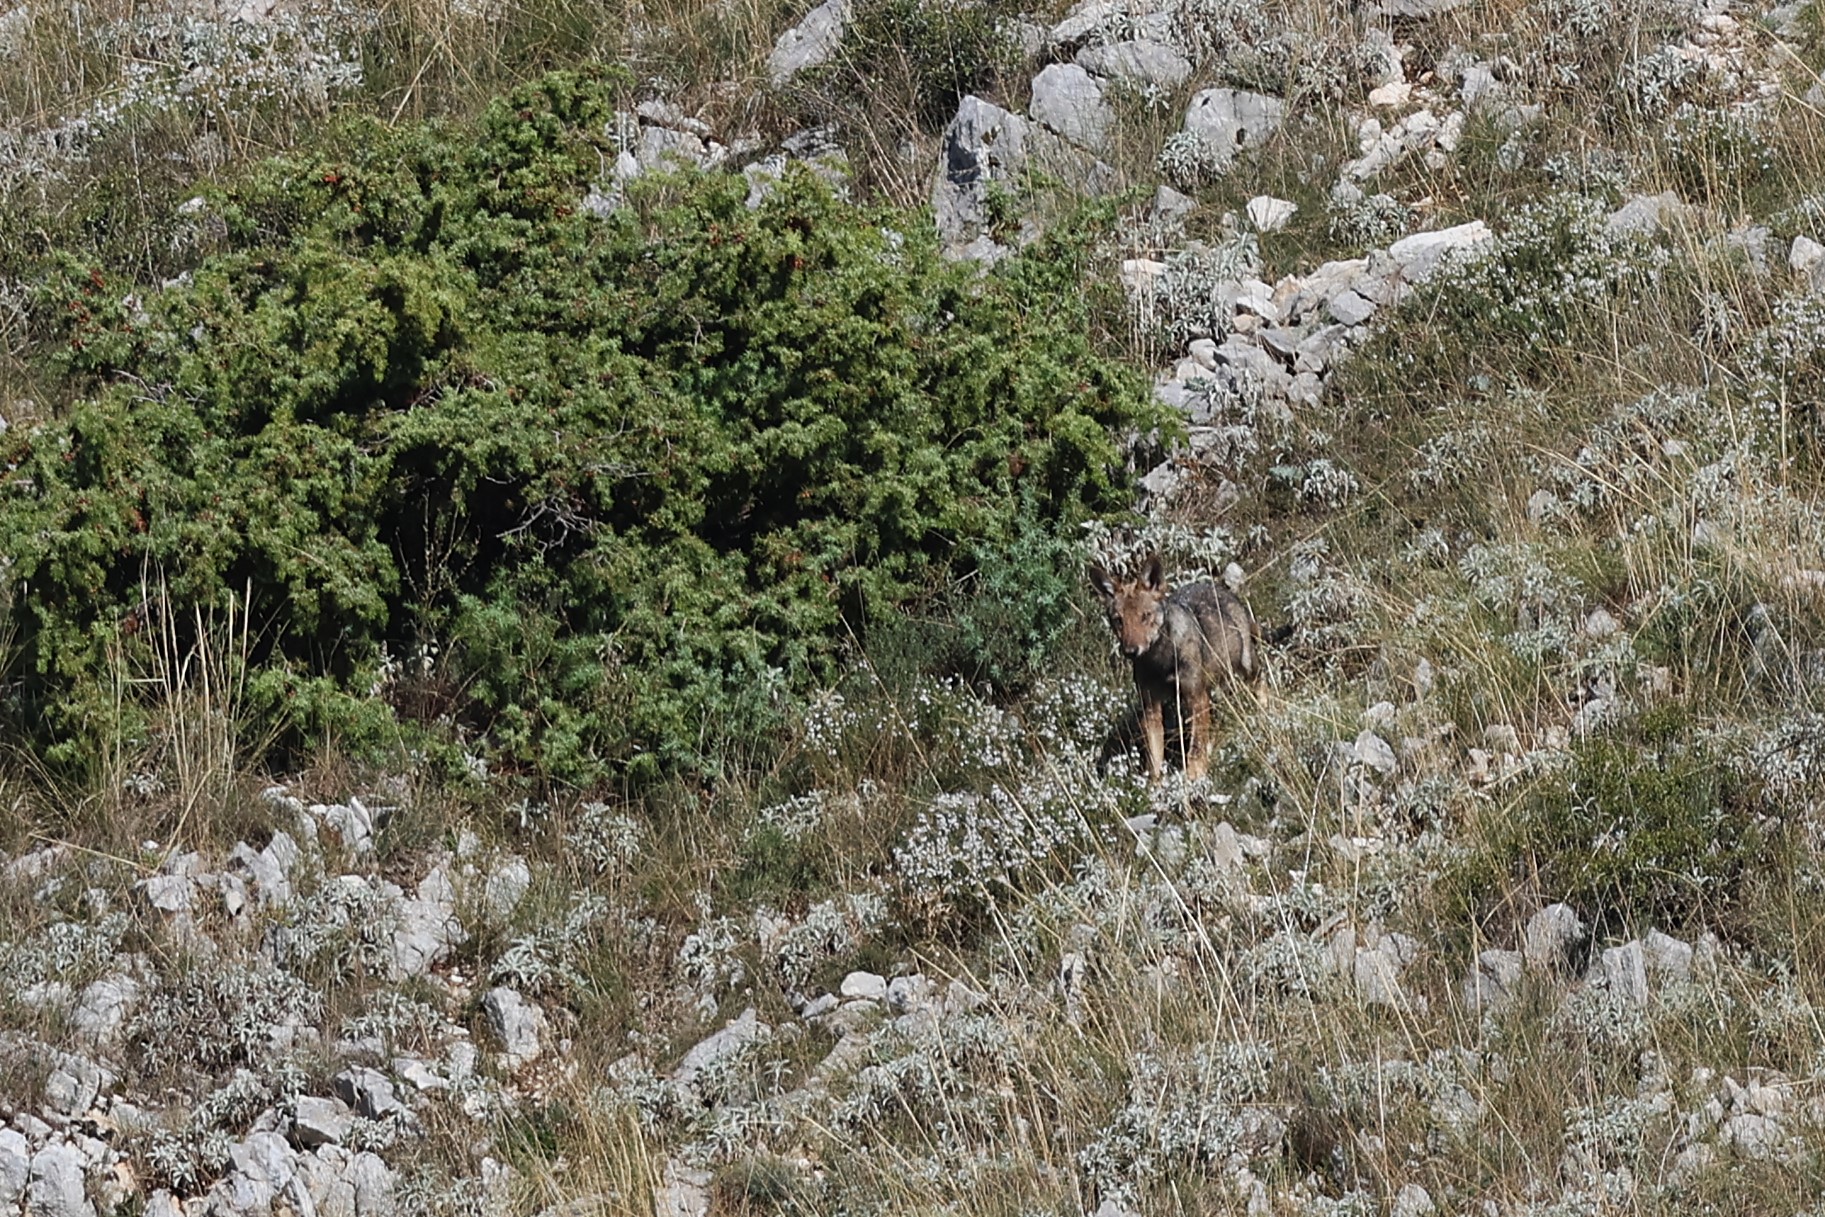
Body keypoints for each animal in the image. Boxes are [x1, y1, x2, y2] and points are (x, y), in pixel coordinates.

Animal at [1088, 554, 1259, 782]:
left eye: (1145, 616)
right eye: (1118, 620)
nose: (1131, 651)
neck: (1160, 662)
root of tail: (1219, 587)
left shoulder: (1196, 699)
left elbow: (1195, 748)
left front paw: (1194, 777)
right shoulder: (1151, 710)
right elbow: (1154, 759)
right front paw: (1155, 786)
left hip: (1245, 666)